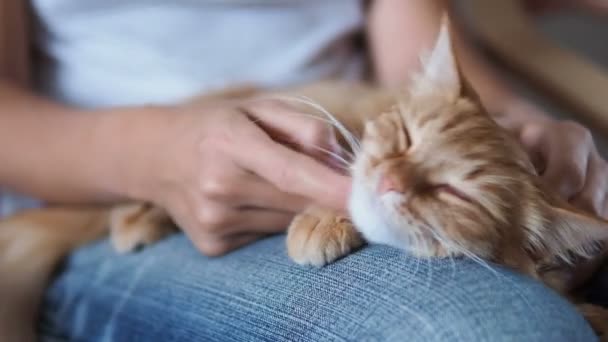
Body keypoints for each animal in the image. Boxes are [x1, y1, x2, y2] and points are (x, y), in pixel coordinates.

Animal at [1, 14, 608, 340]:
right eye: (405, 137)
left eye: (454, 192)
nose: (390, 178)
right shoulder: (327, 108)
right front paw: (325, 218)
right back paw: (136, 217)